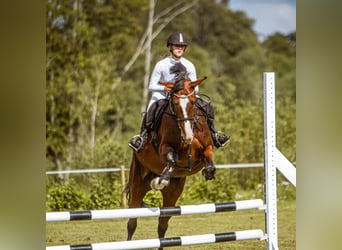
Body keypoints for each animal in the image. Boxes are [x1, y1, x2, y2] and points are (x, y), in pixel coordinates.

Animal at [125, 73, 216, 249]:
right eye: (174, 103)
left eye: (193, 101)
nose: (188, 136)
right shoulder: (164, 148)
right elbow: (172, 159)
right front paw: (161, 180)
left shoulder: (206, 147)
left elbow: (209, 159)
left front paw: (209, 173)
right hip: (137, 184)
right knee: (132, 222)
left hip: (172, 195)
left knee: (162, 225)